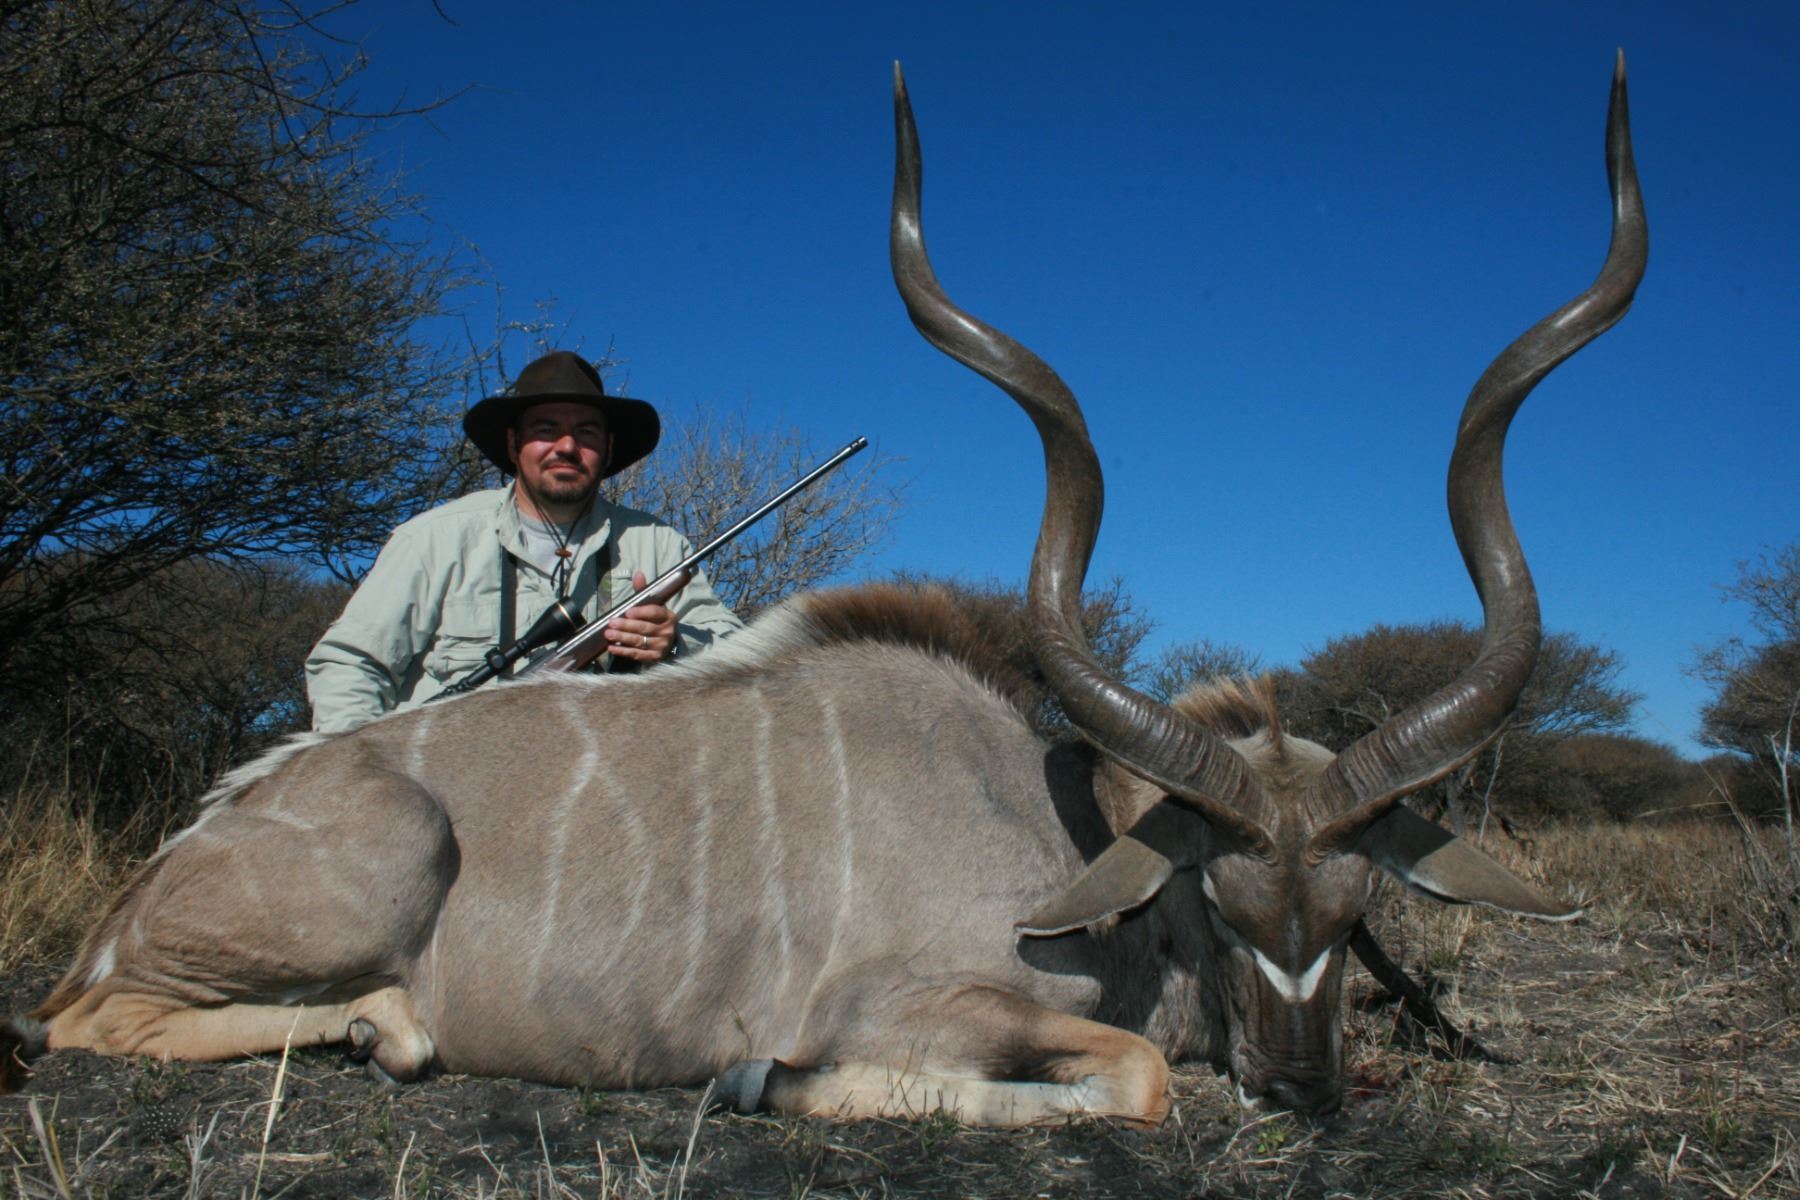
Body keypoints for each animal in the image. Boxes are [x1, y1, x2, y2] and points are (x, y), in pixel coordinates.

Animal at [0, 57, 1645, 1125]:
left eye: (1358, 899)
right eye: (1217, 896)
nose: (1305, 1091)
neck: (1053, 832)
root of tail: (156, 875)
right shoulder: (918, 1005)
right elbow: (1133, 1079)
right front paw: (766, 1079)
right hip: (360, 875)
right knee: (85, 1021)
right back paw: (374, 1033)